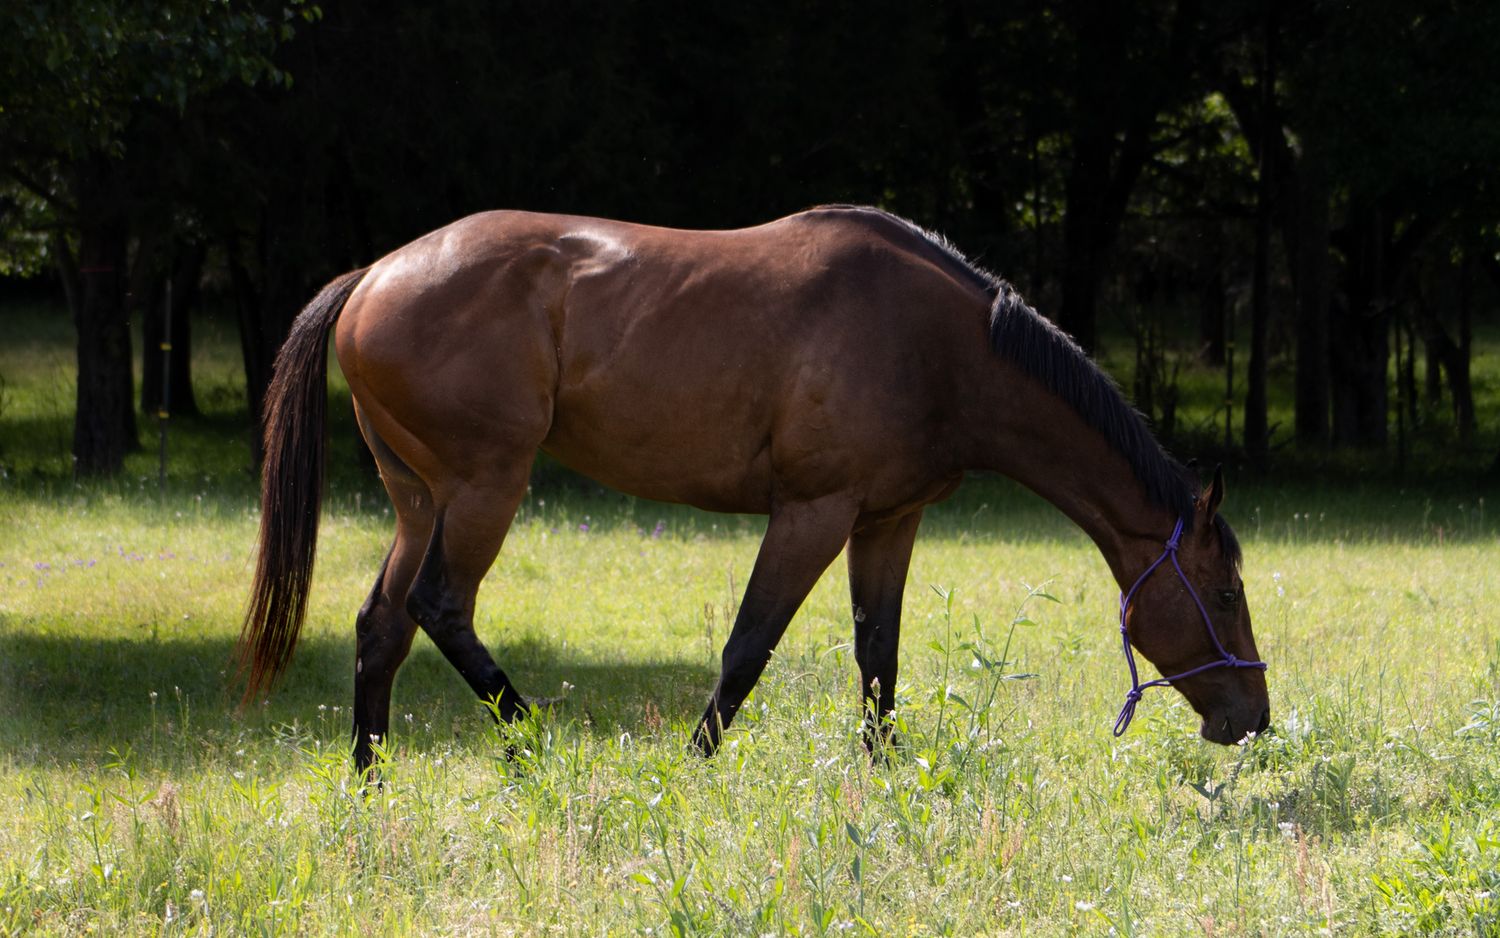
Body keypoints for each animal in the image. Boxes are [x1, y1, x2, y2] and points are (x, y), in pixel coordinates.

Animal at [239, 205, 1269, 770]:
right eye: (1223, 593)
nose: (1252, 718)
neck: (938, 348)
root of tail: (374, 273)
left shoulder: (886, 522)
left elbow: (878, 659)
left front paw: (888, 780)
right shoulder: (812, 513)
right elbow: (747, 650)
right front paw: (694, 773)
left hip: (422, 502)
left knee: (381, 627)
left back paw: (370, 785)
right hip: (487, 489)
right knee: (440, 607)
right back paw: (537, 744)